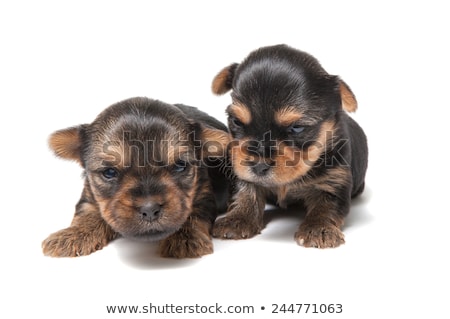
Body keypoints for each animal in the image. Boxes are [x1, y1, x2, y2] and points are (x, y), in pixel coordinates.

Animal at [42, 98, 230, 260]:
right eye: (109, 172)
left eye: (179, 166)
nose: (150, 209)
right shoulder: (90, 195)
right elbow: (86, 212)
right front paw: (71, 235)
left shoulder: (204, 194)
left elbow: (195, 214)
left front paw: (184, 238)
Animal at [211, 43, 366, 249]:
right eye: (236, 121)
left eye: (297, 127)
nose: (259, 166)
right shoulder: (241, 169)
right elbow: (246, 191)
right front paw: (237, 219)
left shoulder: (334, 180)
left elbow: (326, 207)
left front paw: (318, 229)